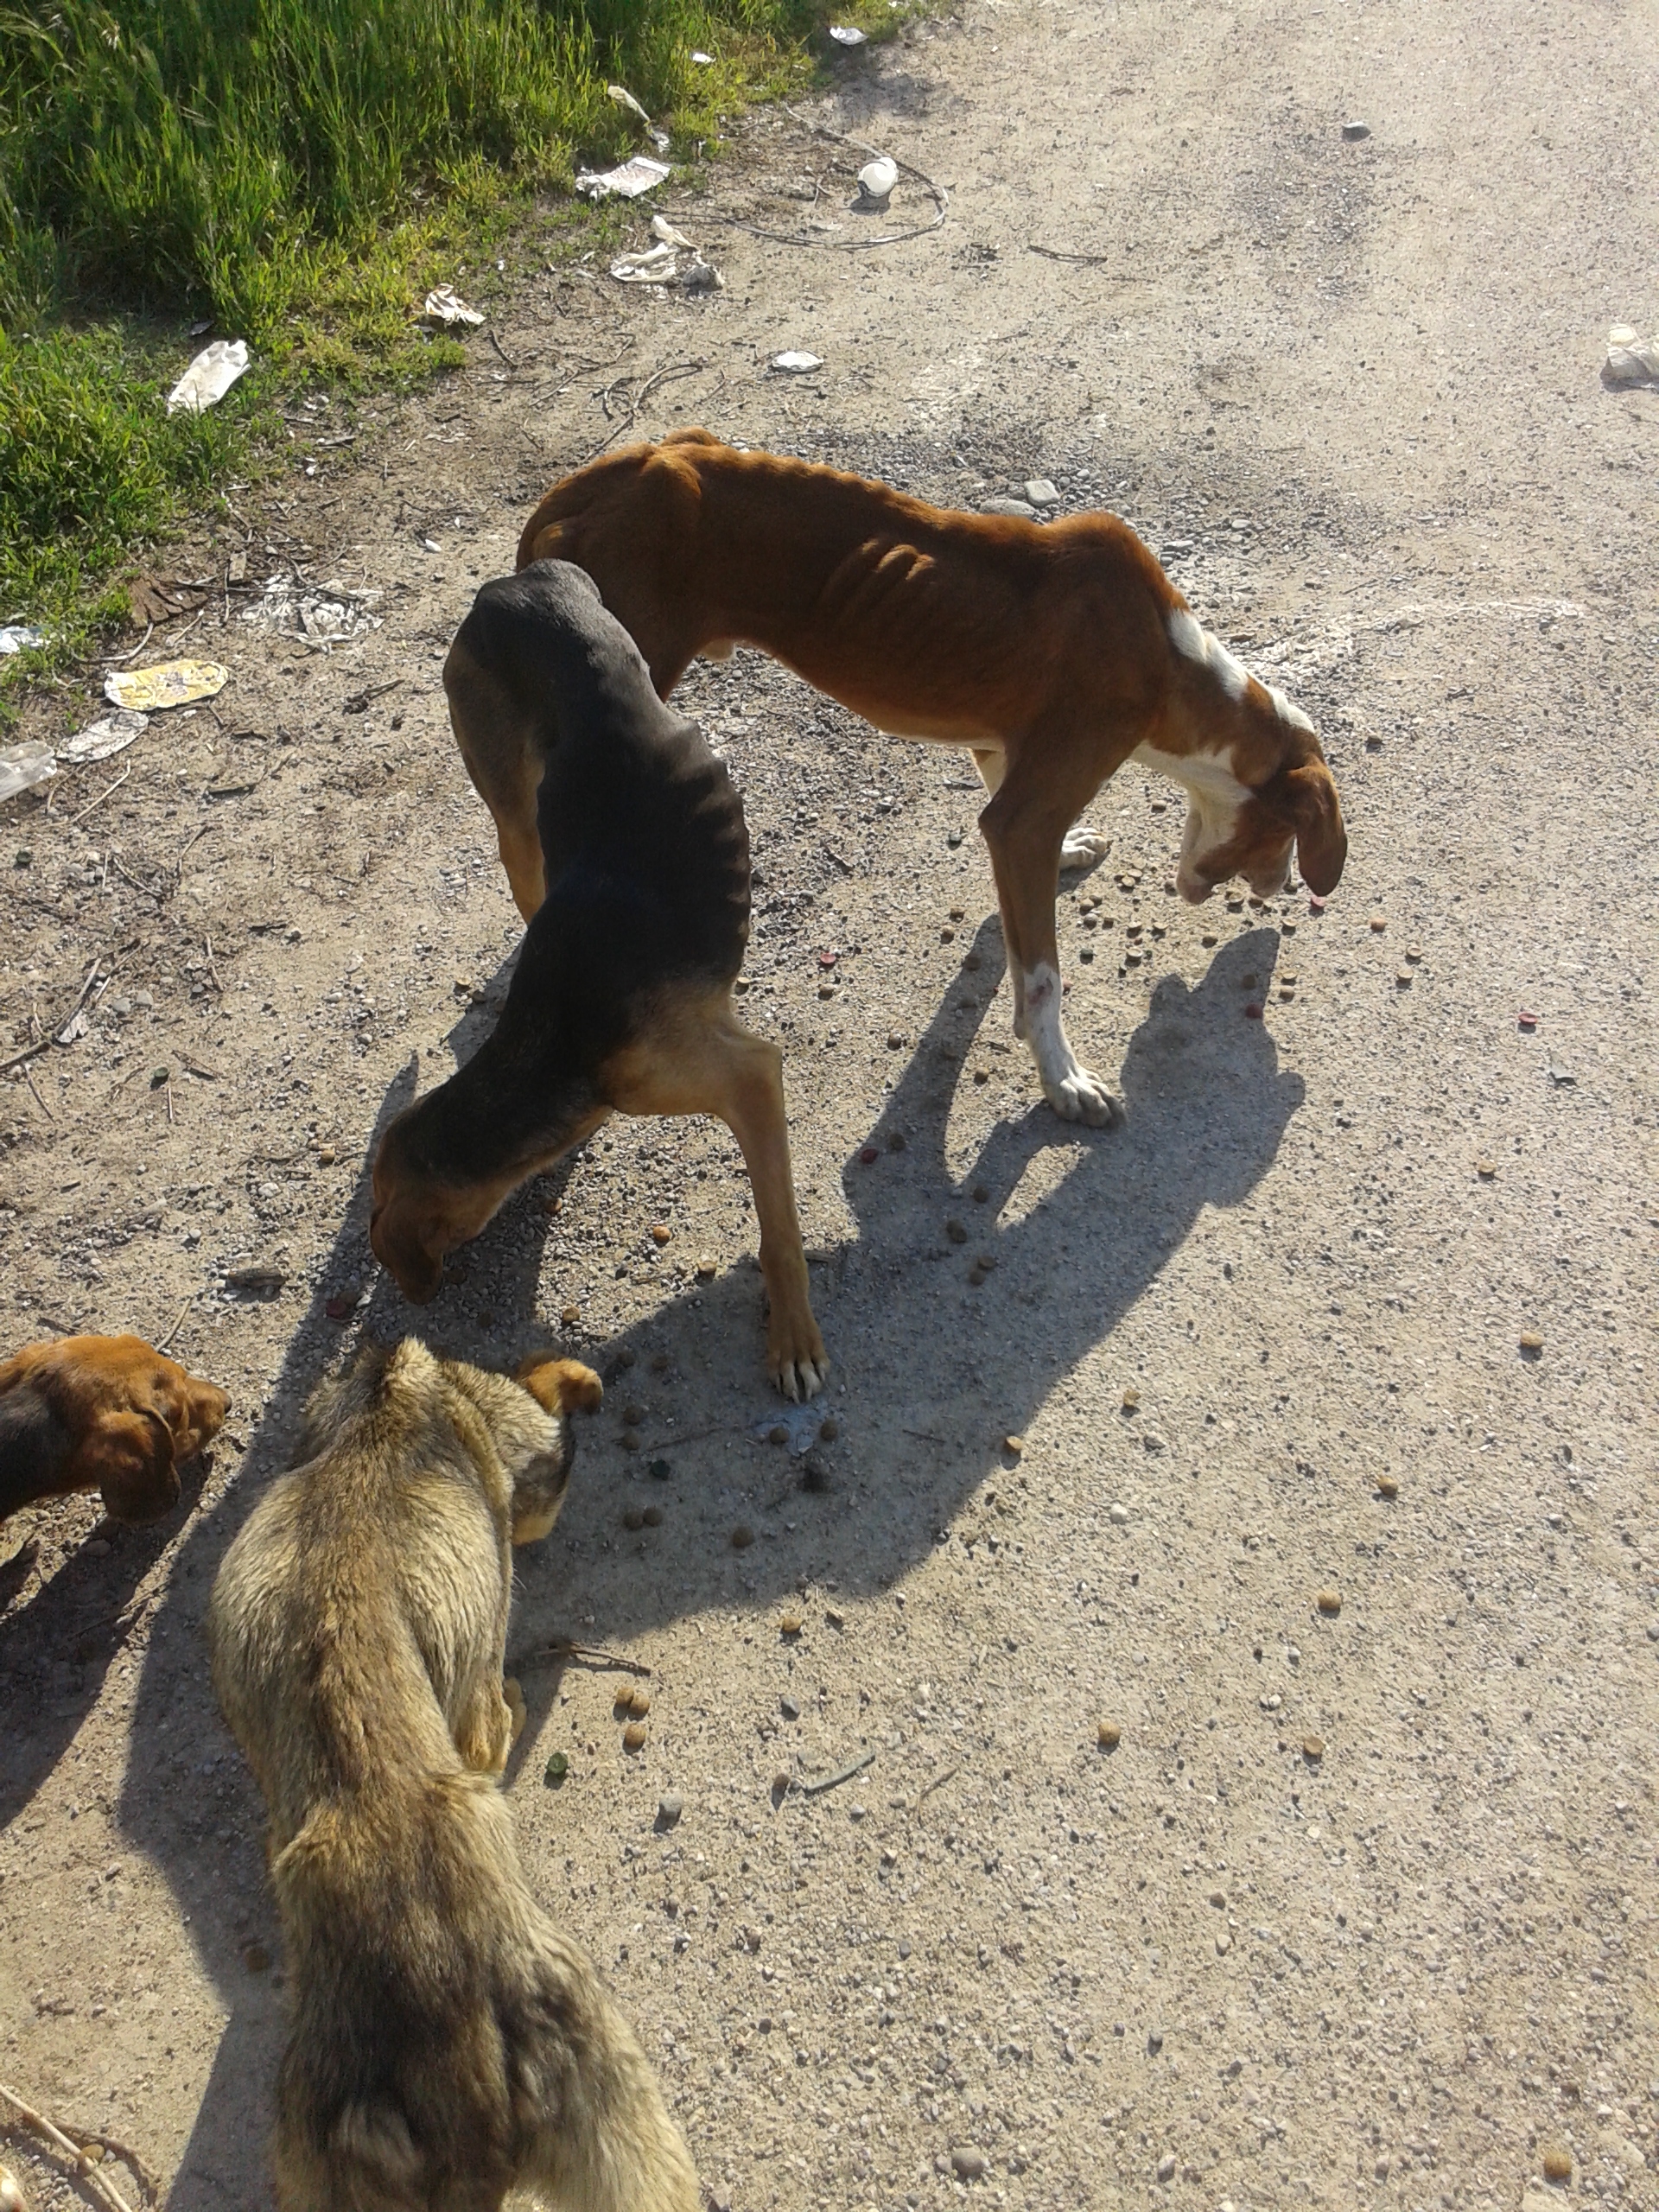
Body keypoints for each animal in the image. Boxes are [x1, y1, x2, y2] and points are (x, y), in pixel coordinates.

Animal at [373, 559, 827, 1401]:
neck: (554, 1046)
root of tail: (511, 585)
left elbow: (778, 1233)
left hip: (520, 828)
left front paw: (792, 1341)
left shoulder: (748, 1078)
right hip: (518, 824)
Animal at [505, 427, 1349, 1126]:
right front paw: (1063, 1080)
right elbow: (1041, 977)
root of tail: (585, 485)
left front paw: (1070, 854)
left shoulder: (1005, 757)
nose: (1278, 890)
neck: (1169, 663)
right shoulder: (1027, 813)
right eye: (1286, 834)